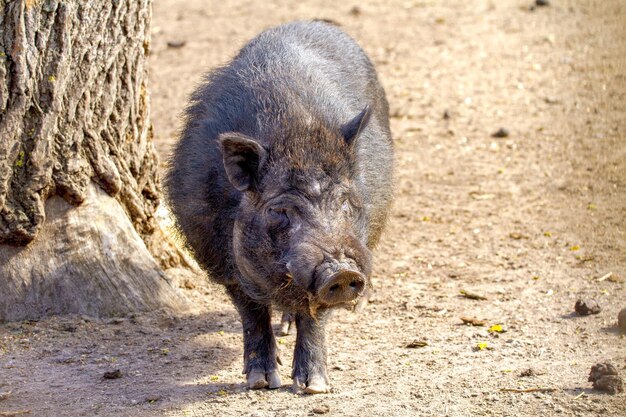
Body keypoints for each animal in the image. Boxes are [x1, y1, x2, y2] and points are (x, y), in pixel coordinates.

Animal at [163, 20, 392, 394]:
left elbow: (315, 316)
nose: (342, 272)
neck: (294, 131)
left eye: (345, 200)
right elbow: (251, 312)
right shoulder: (221, 258)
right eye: (280, 210)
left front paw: (312, 387)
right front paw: (261, 382)